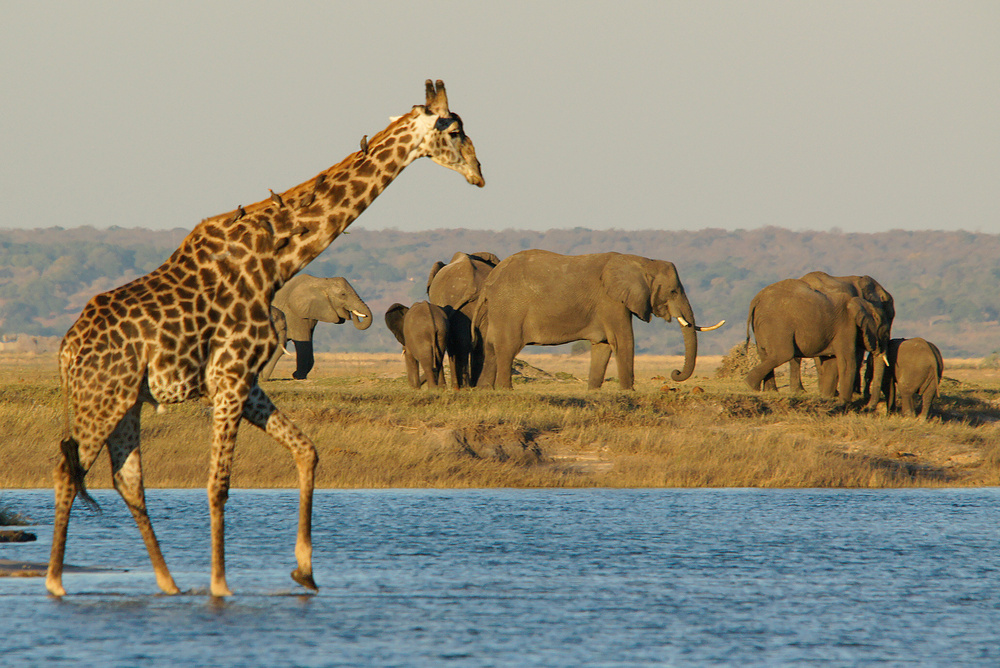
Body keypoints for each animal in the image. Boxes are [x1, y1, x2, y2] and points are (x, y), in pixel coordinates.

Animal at [47, 81, 484, 596]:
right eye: (454, 131)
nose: (479, 173)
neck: (274, 260)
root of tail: (66, 350)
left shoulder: (248, 384)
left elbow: (307, 451)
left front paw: (304, 571)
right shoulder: (229, 378)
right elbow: (218, 484)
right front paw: (221, 585)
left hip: (128, 402)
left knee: (127, 480)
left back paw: (168, 584)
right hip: (103, 397)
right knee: (68, 470)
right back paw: (56, 584)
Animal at [472, 250, 724, 392]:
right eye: (673, 291)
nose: (675, 373)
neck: (642, 261)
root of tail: (488, 283)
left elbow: (603, 346)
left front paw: (593, 392)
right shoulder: (611, 301)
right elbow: (623, 341)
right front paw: (628, 392)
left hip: (497, 312)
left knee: (490, 348)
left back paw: (485, 390)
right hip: (509, 309)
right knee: (506, 348)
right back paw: (506, 390)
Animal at [744, 276, 884, 404]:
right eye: (883, 330)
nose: (868, 405)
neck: (860, 303)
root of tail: (756, 300)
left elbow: (832, 362)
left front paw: (827, 398)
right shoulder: (846, 325)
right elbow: (847, 360)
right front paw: (844, 403)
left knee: (765, 354)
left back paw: (765, 390)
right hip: (777, 324)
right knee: (783, 354)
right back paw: (750, 385)